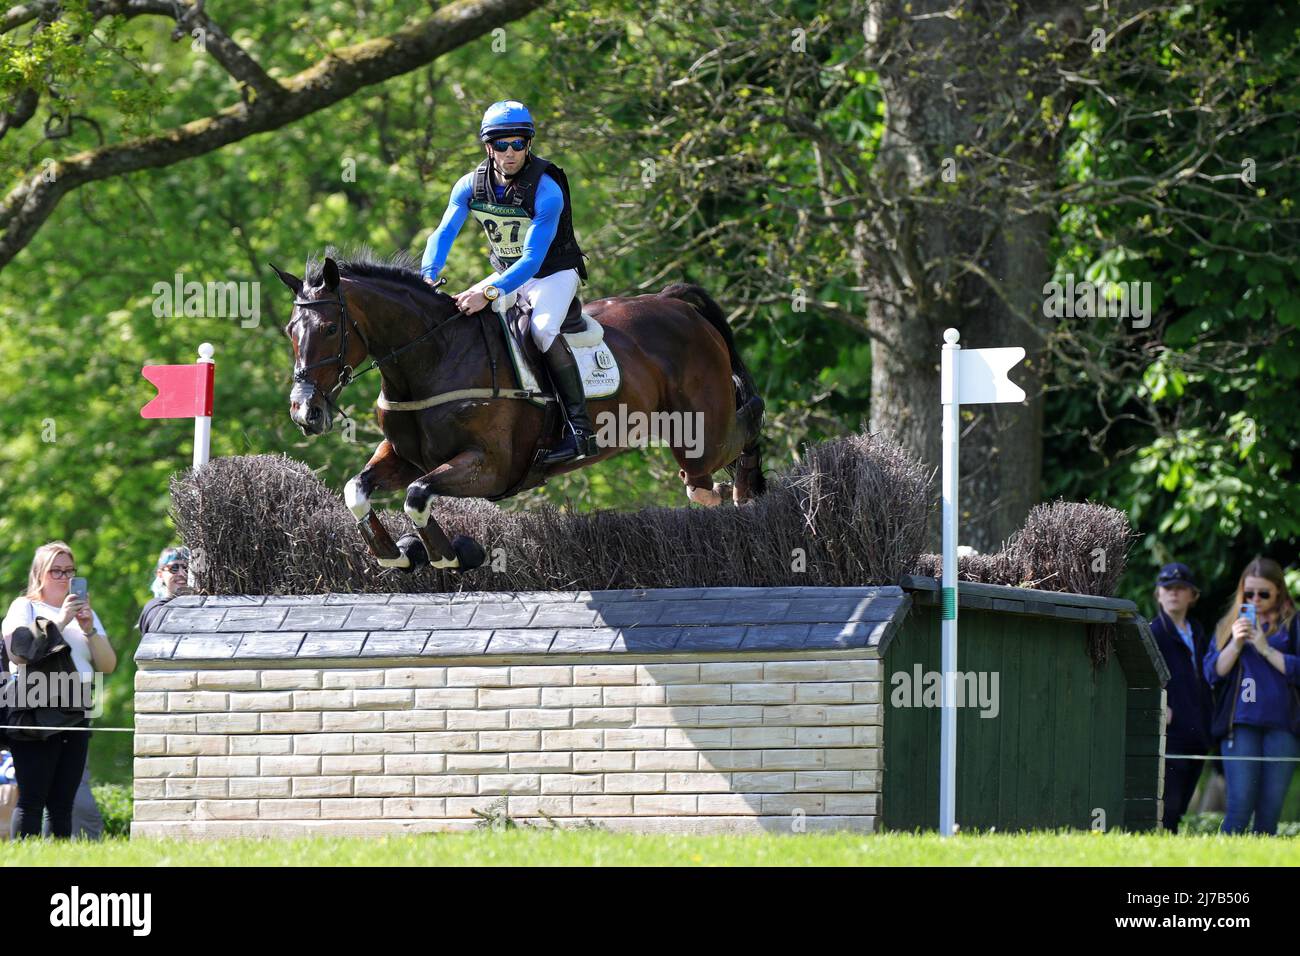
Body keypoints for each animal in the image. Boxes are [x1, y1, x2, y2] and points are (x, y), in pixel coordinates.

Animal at [269, 251, 764, 572]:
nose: (305, 412)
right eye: (291, 329)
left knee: (744, 424)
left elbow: (417, 495)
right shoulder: (406, 457)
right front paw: (395, 554)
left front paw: (450, 555)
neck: (434, 356)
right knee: (703, 480)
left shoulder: (490, 467)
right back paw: (732, 491)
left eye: (329, 328)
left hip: (700, 434)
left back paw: (747, 491)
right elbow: (357, 489)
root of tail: (674, 303)